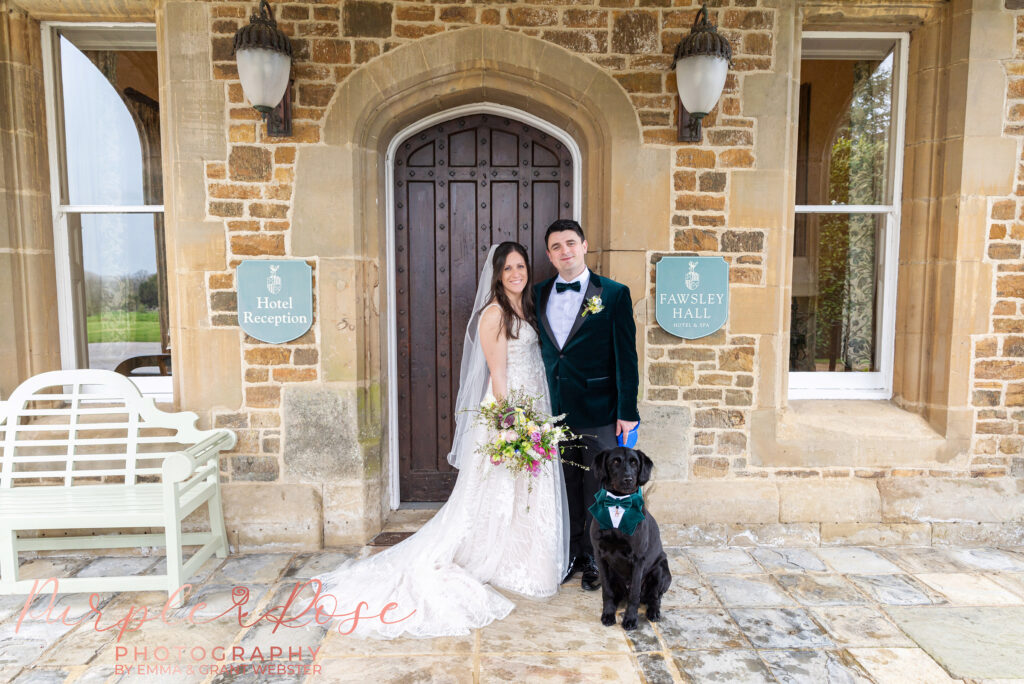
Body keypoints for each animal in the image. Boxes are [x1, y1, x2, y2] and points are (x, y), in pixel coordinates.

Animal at [589, 448, 667, 630]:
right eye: (615, 462)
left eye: (634, 463)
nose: (628, 479)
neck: (618, 504)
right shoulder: (600, 556)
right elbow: (606, 592)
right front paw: (608, 614)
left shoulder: (638, 559)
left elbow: (634, 595)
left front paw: (630, 619)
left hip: (660, 570)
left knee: (655, 597)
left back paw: (653, 612)